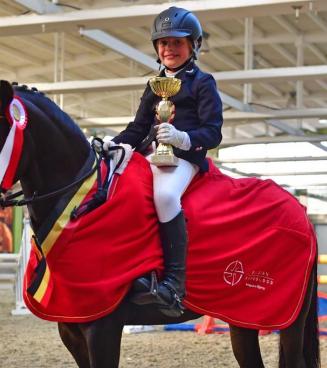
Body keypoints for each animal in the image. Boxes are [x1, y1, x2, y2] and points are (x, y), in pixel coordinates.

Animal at [0, 81, 320, 368]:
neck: (84, 201)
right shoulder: (71, 327)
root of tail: (302, 214)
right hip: (244, 318)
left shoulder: (103, 327)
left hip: (287, 320)